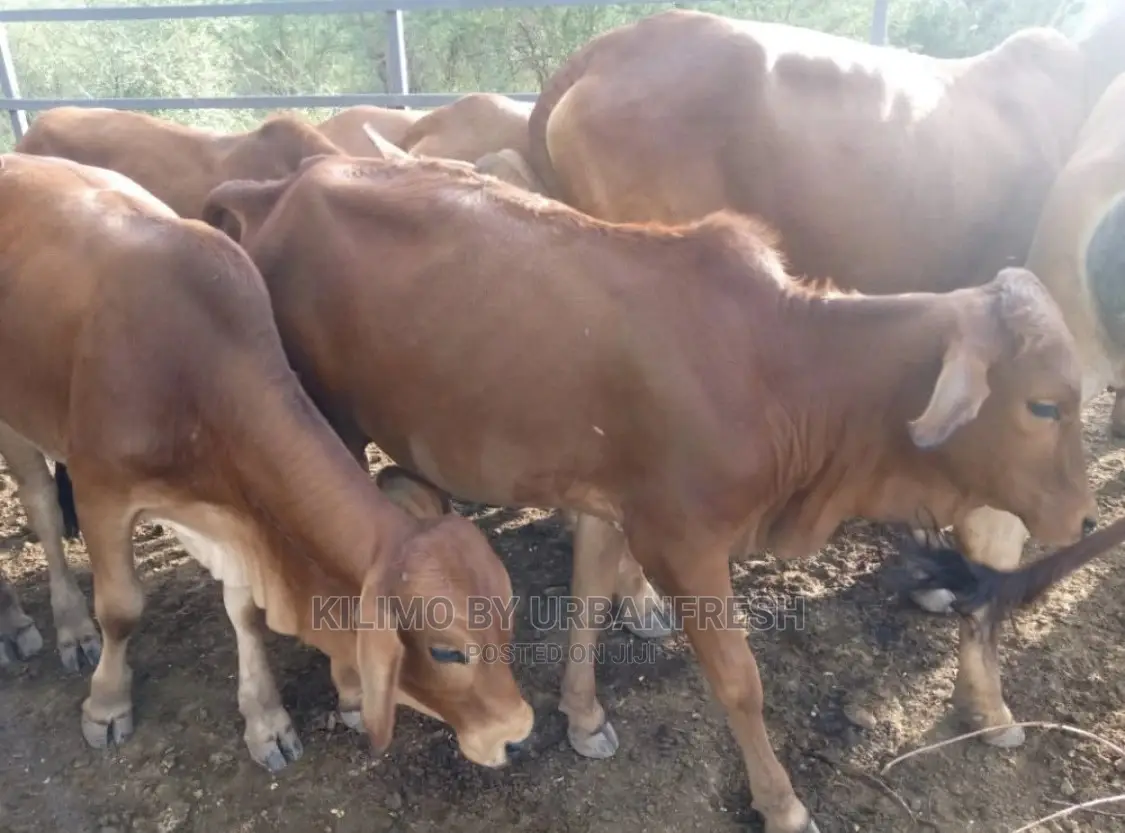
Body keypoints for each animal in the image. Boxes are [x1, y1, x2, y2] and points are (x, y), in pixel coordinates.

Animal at [0, 152, 534, 773]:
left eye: (507, 619)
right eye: (448, 651)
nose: (517, 734)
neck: (194, 369)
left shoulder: (232, 512)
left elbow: (247, 611)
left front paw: (265, 719)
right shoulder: (100, 489)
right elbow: (121, 608)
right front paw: (107, 705)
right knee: (40, 505)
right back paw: (59, 627)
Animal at [201, 155, 1096, 833]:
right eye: (1043, 403)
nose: (1084, 517)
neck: (784, 369)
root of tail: (283, 183)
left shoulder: (611, 501)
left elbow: (590, 599)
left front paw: (583, 714)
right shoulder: (683, 541)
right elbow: (739, 679)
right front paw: (780, 802)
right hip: (326, 422)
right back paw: (344, 698)